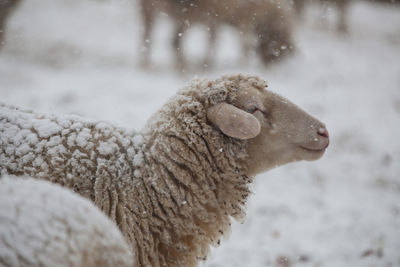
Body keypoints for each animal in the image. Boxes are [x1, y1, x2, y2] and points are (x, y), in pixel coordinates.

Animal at [138, 0, 294, 70]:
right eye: (279, 50)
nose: (269, 68)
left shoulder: (214, 18)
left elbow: (213, 40)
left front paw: (207, 63)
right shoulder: (245, 19)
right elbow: (245, 44)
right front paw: (244, 64)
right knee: (171, 41)